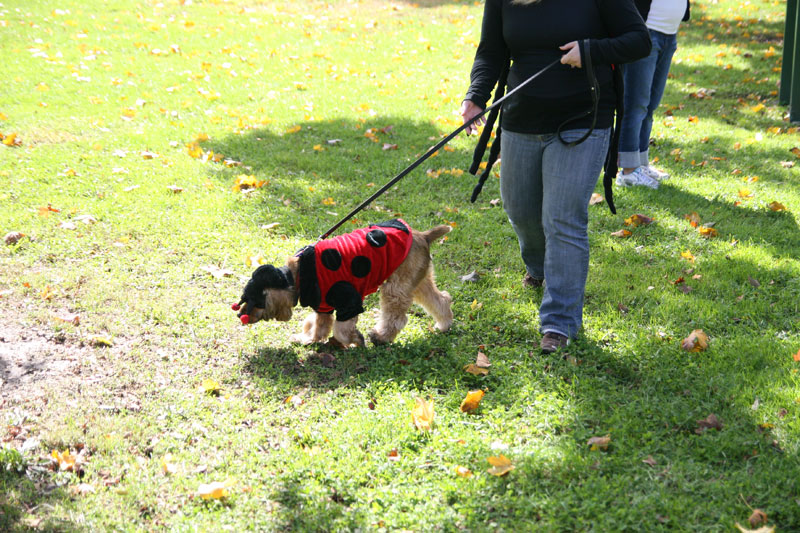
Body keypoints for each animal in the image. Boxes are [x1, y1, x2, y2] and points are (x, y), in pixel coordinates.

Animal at [234, 218, 454, 348]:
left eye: (254, 302)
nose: (240, 315)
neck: (298, 275)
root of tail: (423, 236)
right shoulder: (323, 306)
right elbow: (320, 326)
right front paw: (308, 338)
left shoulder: (349, 302)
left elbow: (341, 330)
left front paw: (355, 339)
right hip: (417, 281)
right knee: (441, 300)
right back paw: (444, 325)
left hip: (396, 288)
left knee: (396, 318)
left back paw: (381, 337)